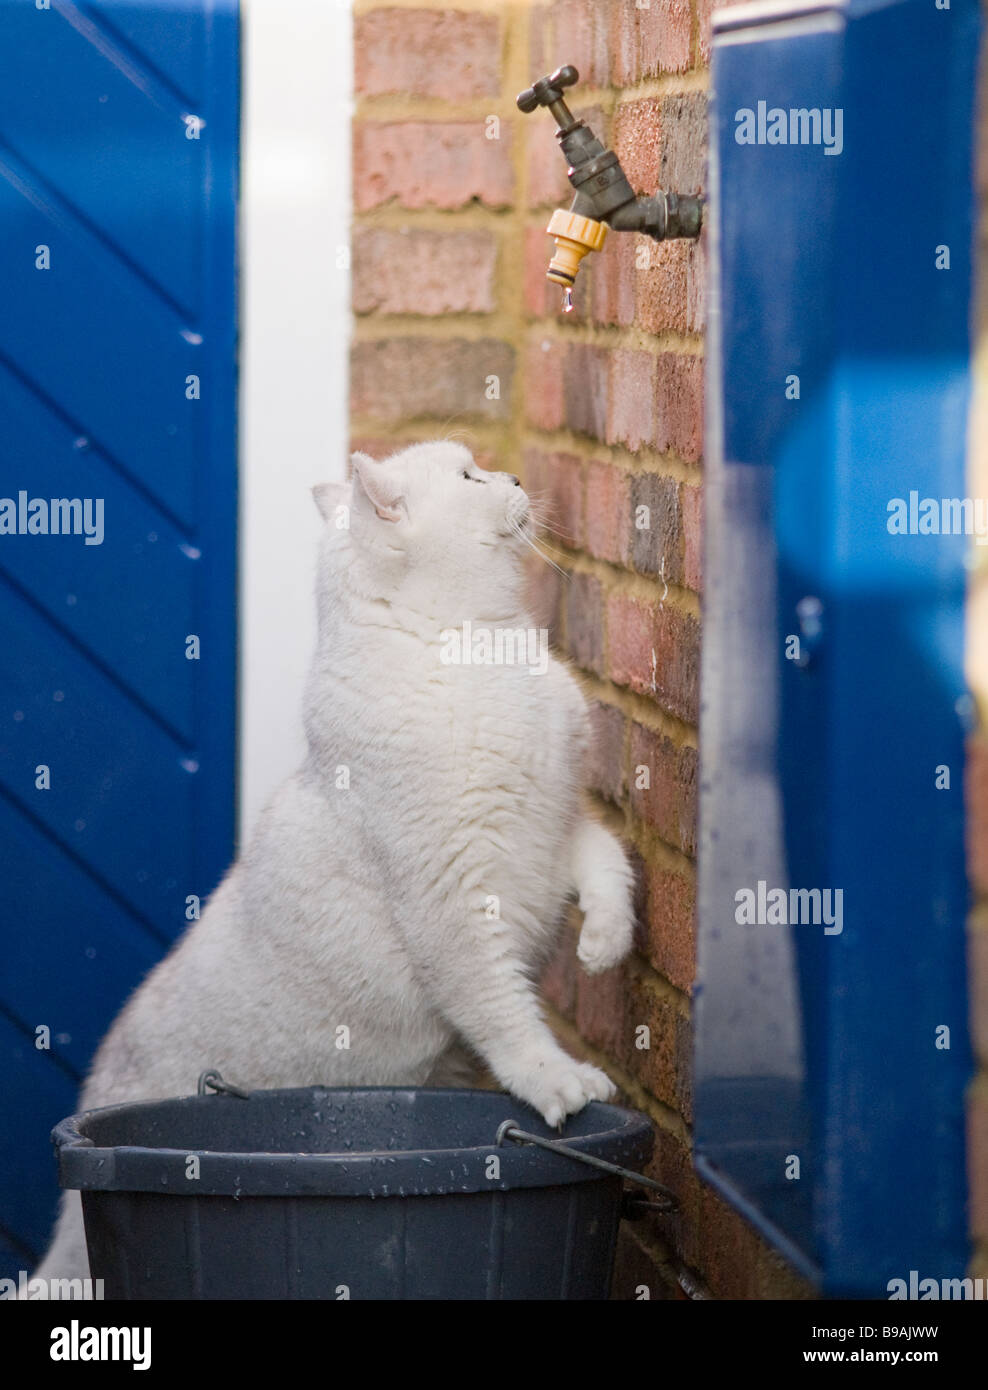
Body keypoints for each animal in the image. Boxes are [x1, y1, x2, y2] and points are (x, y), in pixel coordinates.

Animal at [34, 442, 636, 1278]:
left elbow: (610, 866)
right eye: (470, 479)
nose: (514, 478)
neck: (489, 646)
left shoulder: (558, 826)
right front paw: (555, 1080)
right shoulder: (452, 905)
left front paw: (605, 945)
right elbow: (504, 1012)